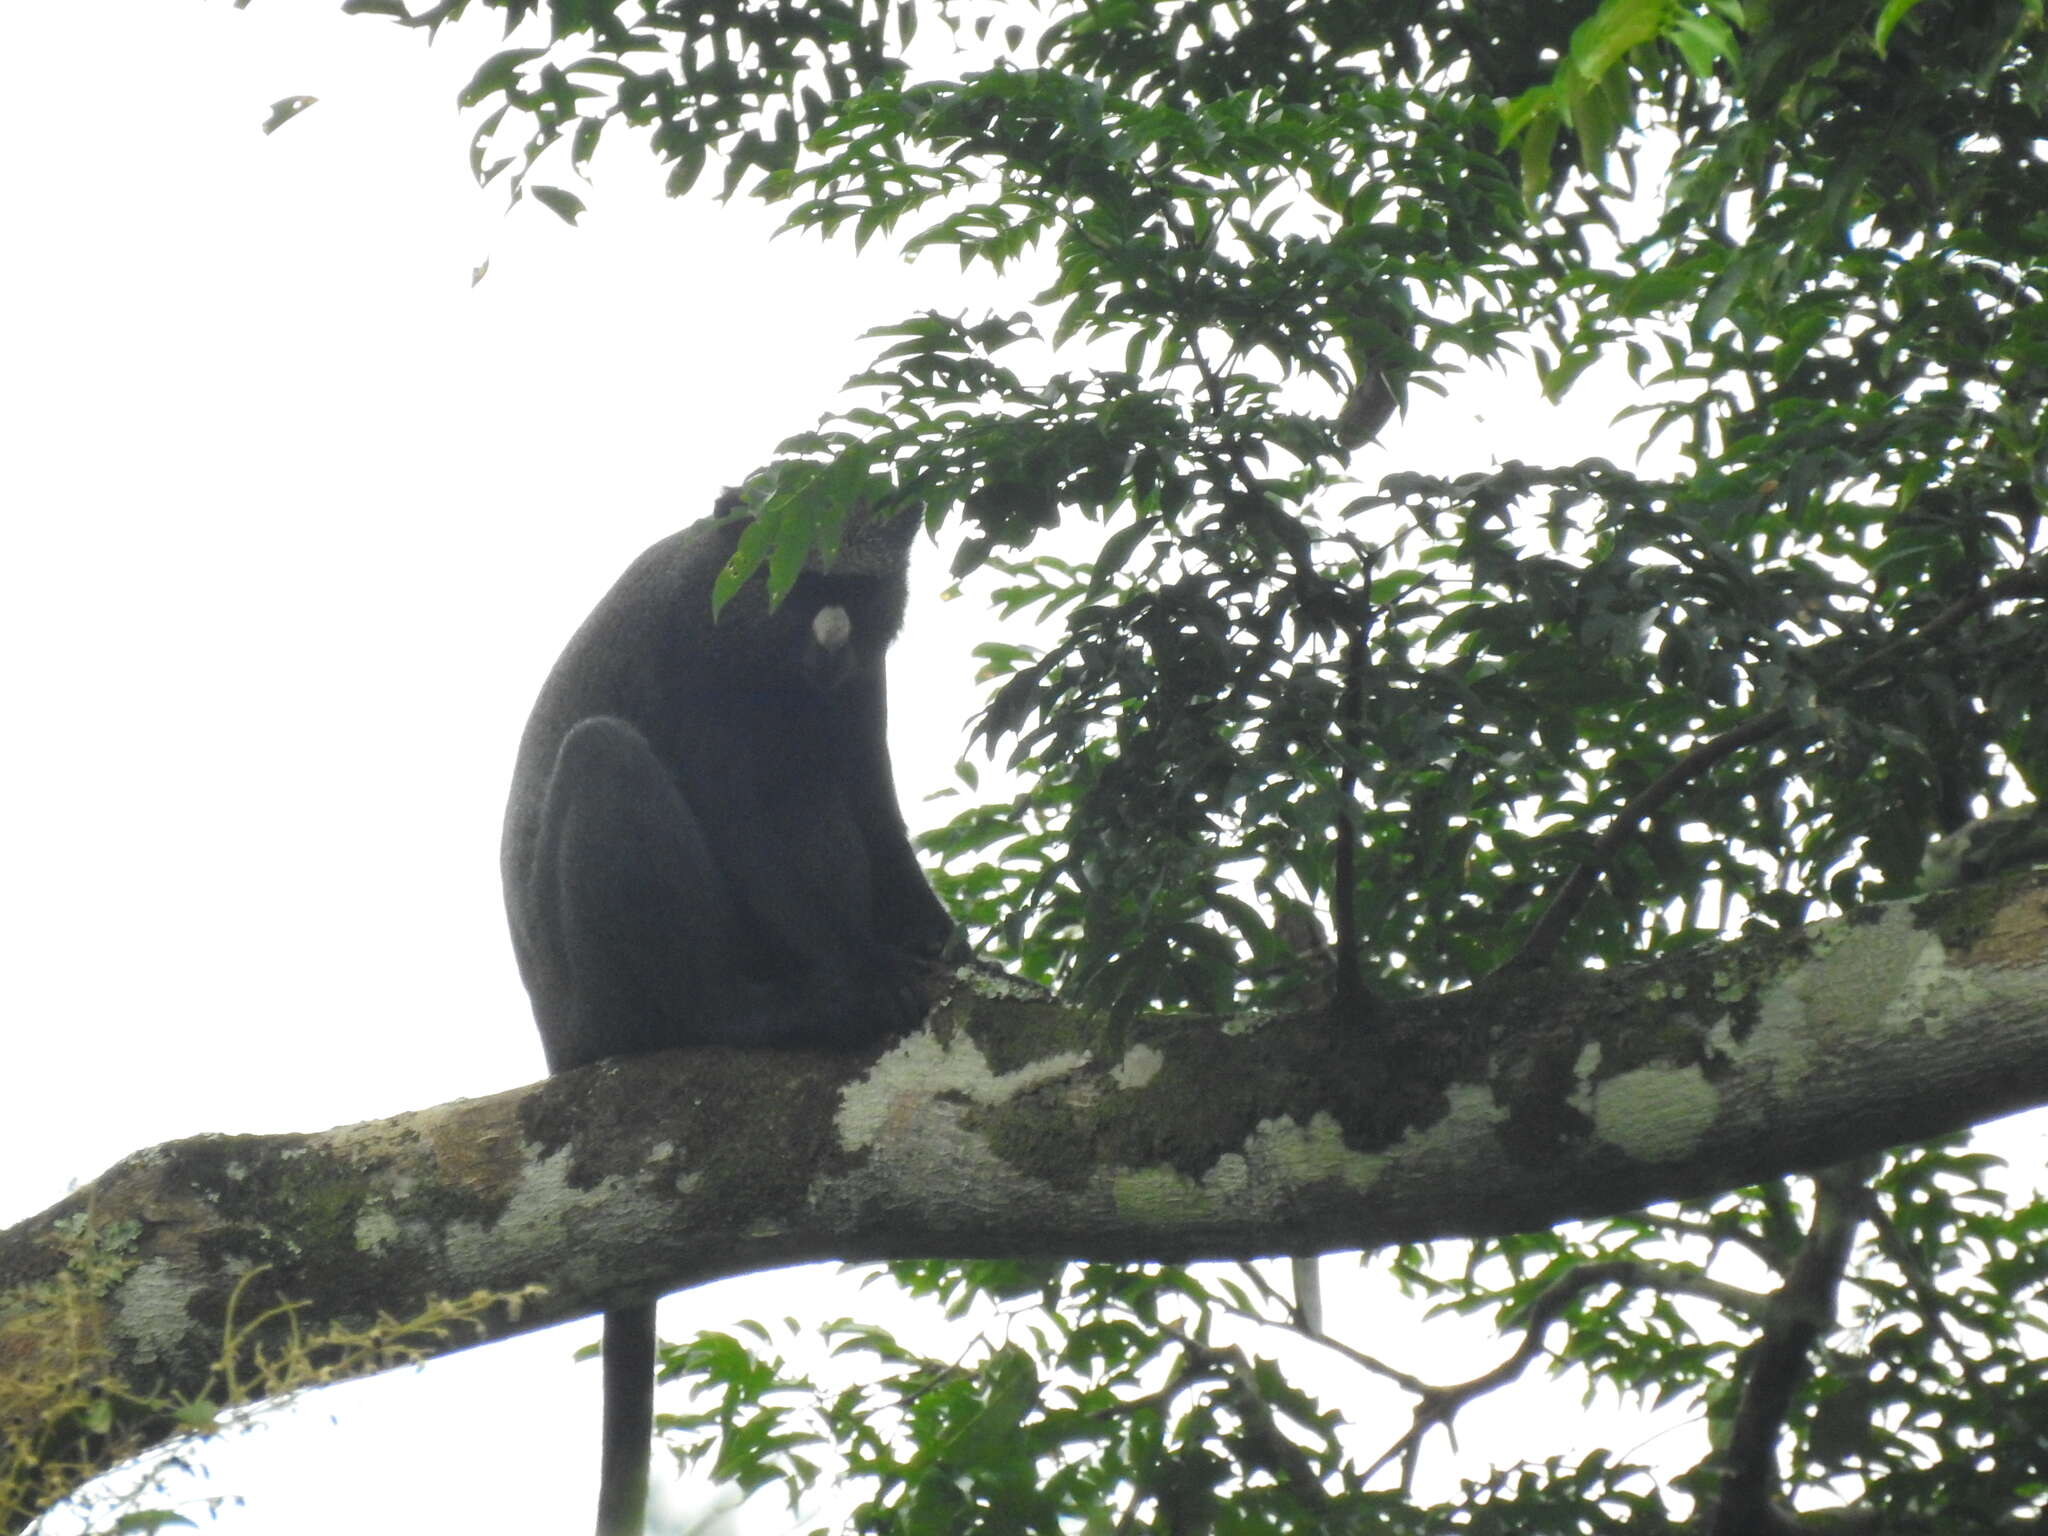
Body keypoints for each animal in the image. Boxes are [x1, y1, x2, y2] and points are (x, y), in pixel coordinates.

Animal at [499, 493, 954, 1536]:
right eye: (800, 582)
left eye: (853, 586)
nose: (828, 635)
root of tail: (562, 1045)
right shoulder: (697, 650)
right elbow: (745, 813)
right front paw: (869, 976)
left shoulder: (860, 679)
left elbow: (866, 791)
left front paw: (944, 946)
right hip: (613, 998)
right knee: (606, 755)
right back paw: (768, 1011)